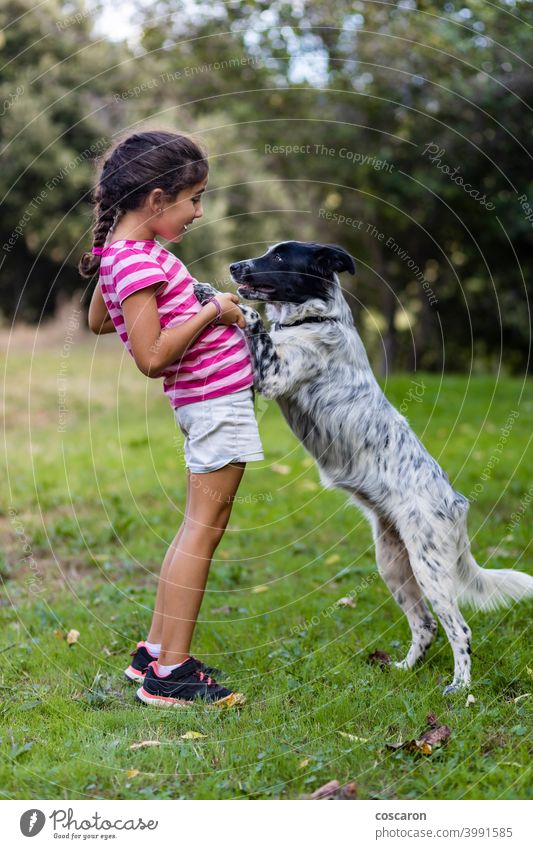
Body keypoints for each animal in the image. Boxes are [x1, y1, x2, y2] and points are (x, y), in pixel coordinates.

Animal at [195, 242, 532, 692]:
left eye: (280, 257)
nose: (234, 265)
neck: (314, 320)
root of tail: (457, 502)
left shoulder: (274, 375)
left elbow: (251, 319)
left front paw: (212, 294)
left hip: (430, 567)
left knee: (459, 629)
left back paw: (460, 688)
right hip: (394, 564)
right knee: (425, 624)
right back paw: (404, 669)